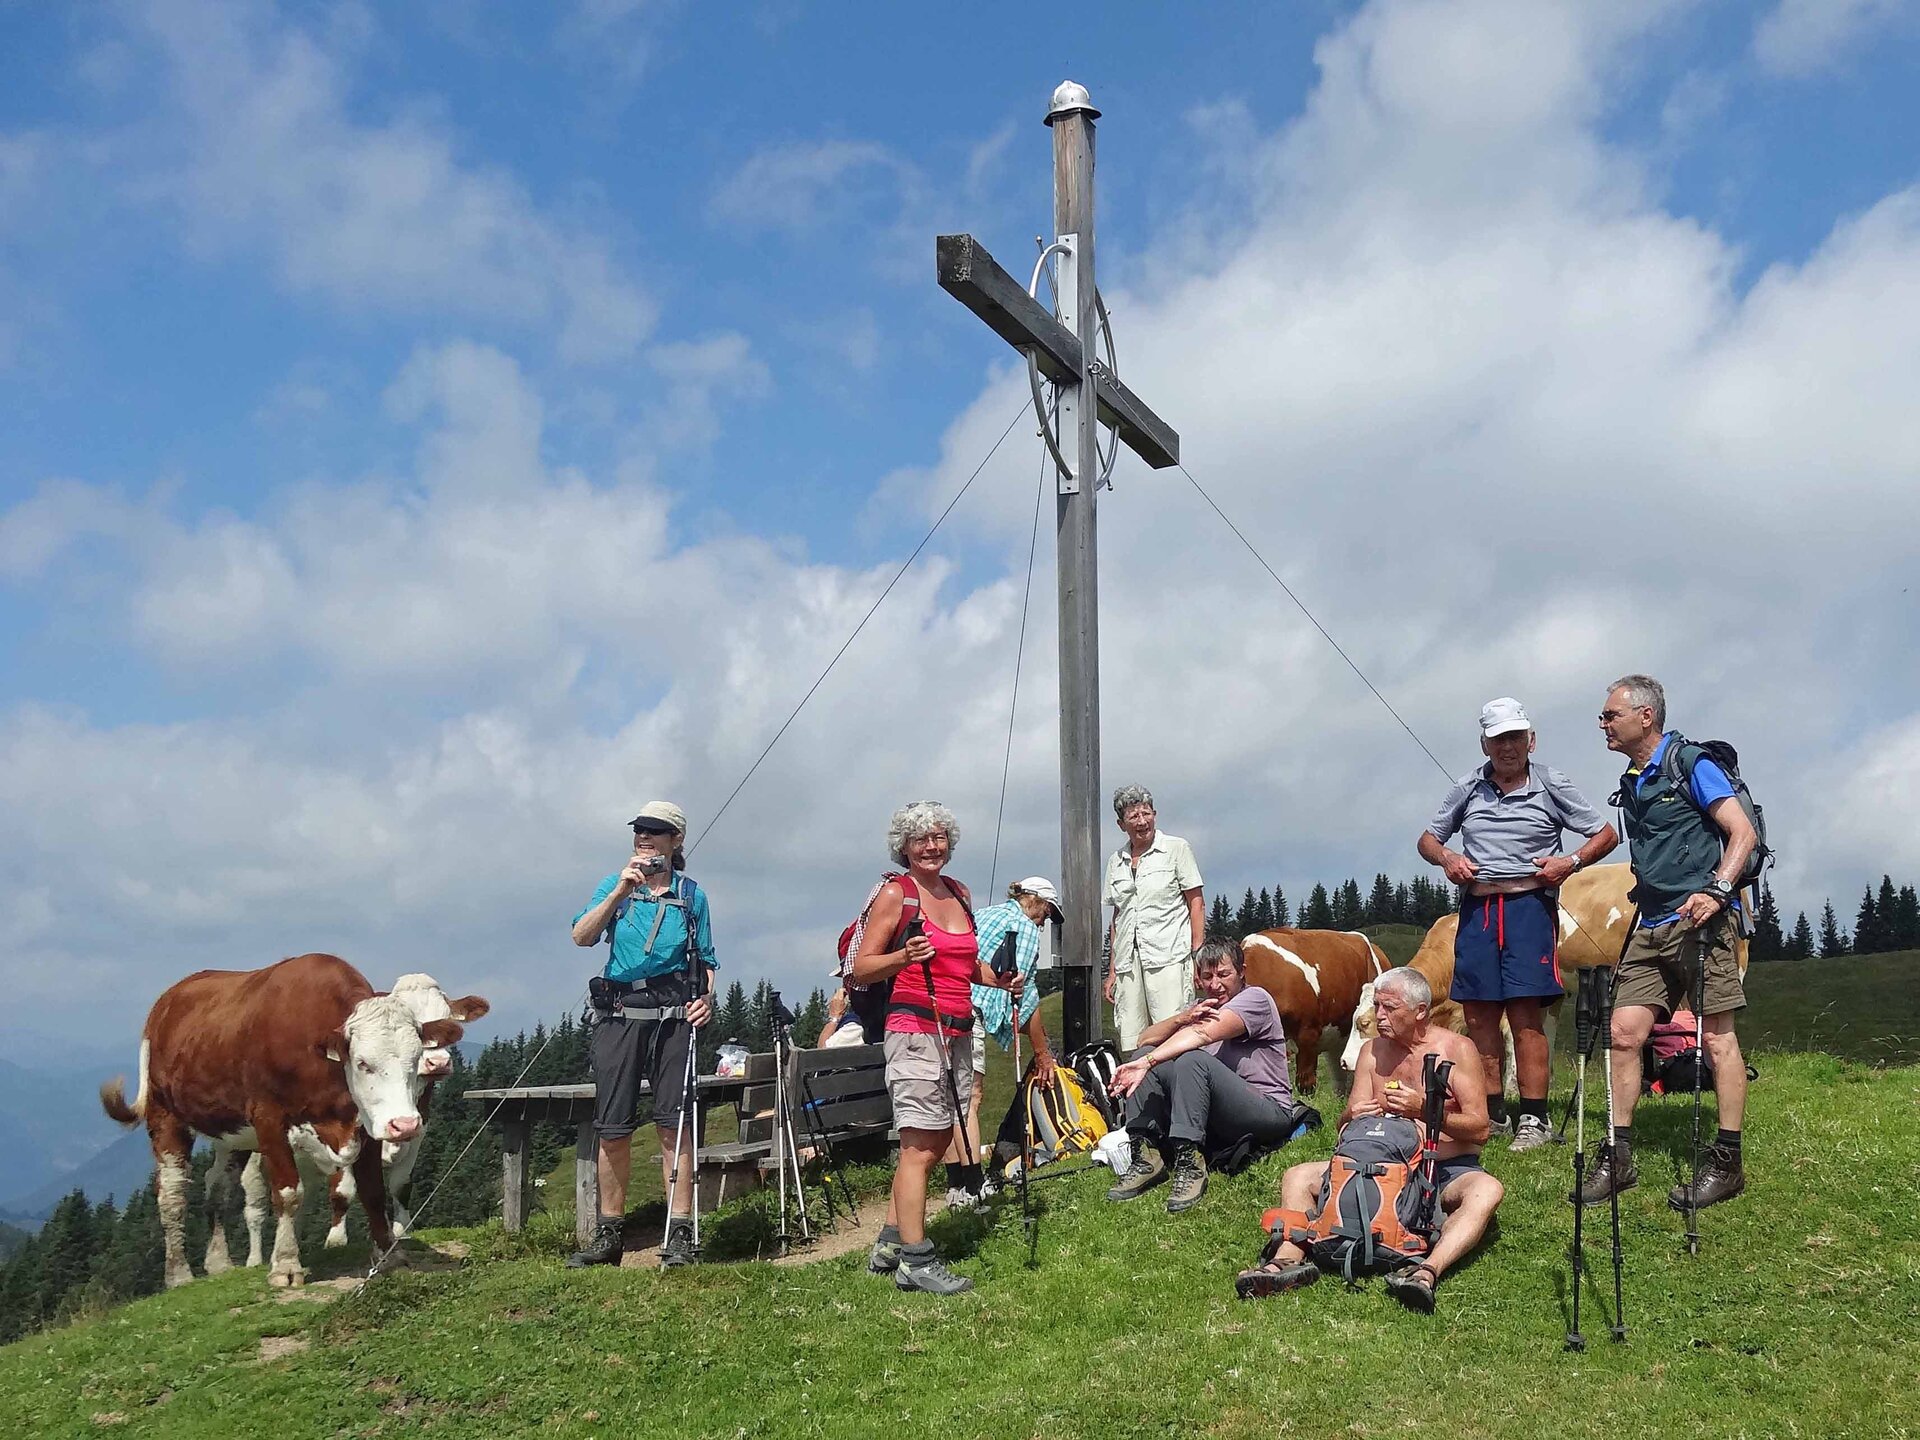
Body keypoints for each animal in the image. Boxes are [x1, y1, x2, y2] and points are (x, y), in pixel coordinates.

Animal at [100, 952, 464, 1290]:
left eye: (415, 1057)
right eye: (363, 1063)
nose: (406, 1124)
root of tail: (167, 1002)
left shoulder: (369, 1126)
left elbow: (373, 1191)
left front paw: (390, 1256)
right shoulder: (269, 1120)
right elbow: (289, 1193)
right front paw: (286, 1265)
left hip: (232, 1134)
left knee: (217, 1186)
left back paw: (218, 1262)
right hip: (166, 1116)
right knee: (172, 1192)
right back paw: (178, 1273)